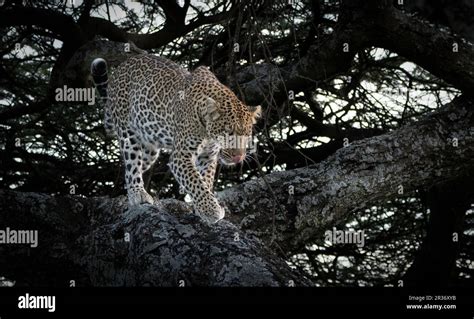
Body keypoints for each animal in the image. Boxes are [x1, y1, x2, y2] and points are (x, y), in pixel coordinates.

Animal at [90, 53, 262, 224]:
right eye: (228, 133)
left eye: (246, 135)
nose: (239, 157)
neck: (207, 131)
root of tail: (120, 68)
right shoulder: (181, 156)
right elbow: (195, 181)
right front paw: (211, 210)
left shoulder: (208, 156)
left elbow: (204, 180)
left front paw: (202, 208)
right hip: (128, 133)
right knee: (132, 166)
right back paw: (138, 193)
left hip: (149, 150)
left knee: (133, 167)